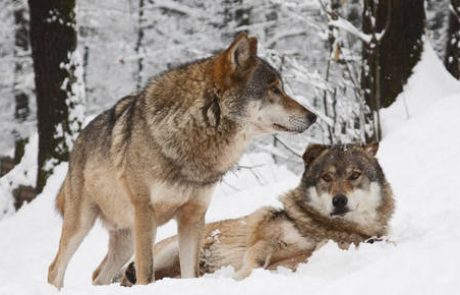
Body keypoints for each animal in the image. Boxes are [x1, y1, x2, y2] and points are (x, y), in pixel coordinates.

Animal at [48, 33, 318, 290]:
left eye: (281, 88)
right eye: (275, 90)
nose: (313, 116)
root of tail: (78, 140)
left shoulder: (194, 216)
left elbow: (191, 273)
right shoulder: (146, 214)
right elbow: (146, 273)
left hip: (125, 239)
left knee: (98, 276)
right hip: (83, 225)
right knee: (55, 269)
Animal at [119, 145, 396, 286]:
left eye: (354, 175)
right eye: (326, 177)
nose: (339, 201)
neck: (323, 227)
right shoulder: (265, 239)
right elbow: (254, 259)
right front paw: (237, 279)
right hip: (170, 250)